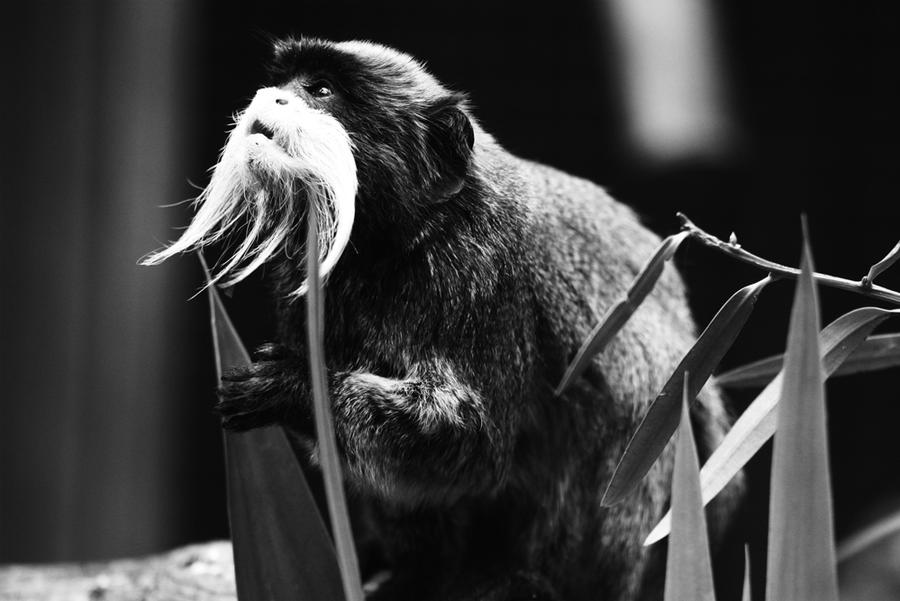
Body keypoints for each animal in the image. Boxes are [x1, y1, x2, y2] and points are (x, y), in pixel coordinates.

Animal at [144, 37, 743, 601]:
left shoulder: (483, 264)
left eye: (320, 91)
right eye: (286, 81)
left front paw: (293, 388)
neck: (392, 242)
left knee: (635, 413)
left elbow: (471, 443)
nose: (272, 97)